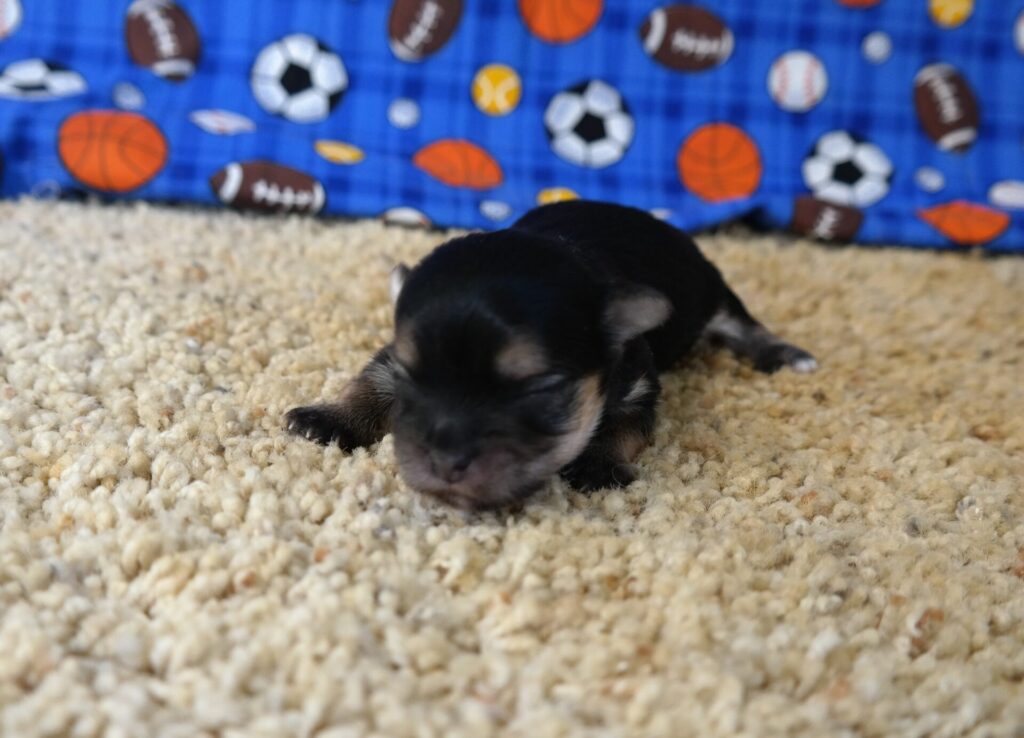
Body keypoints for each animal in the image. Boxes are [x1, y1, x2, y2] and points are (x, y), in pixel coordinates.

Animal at [285, 200, 816, 510]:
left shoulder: (639, 384)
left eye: (537, 389)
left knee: (743, 323)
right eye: (412, 378)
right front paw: (328, 417)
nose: (445, 464)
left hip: (708, 289)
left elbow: (625, 425)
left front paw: (598, 464)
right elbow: (369, 379)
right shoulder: (391, 355)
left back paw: (787, 355)